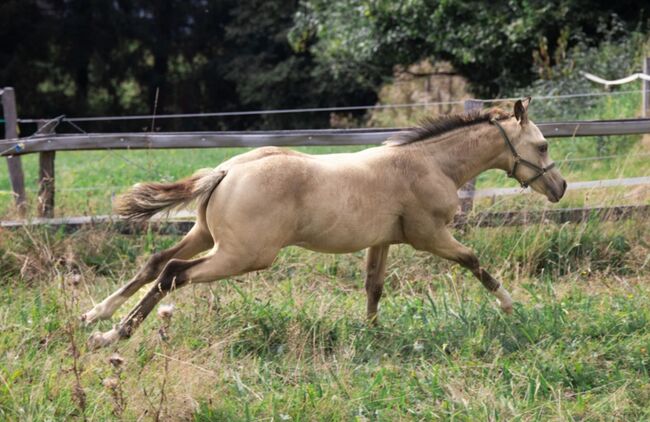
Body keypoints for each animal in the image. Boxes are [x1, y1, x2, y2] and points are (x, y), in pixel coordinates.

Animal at [85, 97, 560, 348]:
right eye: (541, 145)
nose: (559, 187)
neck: (430, 164)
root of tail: (226, 170)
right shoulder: (429, 235)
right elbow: (474, 261)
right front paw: (511, 307)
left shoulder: (383, 240)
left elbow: (374, 286)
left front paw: (371, 333)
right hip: (244, 255)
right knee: (173, 272)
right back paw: (113, 335)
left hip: (205, 235)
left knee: (156, 261)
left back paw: (95, 317)